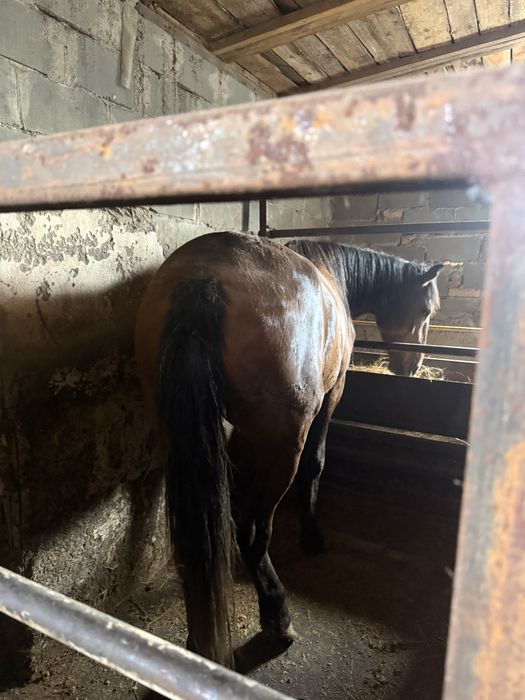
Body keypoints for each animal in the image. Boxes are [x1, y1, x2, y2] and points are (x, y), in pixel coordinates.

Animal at [134, 231, 442, 669]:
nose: (413, 366)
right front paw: (312, 535)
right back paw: (277, 616)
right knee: (252, 529)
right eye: (426, 308)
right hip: (286, 445)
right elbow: (316, 464)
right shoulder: (333, 394)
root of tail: (204, 276)